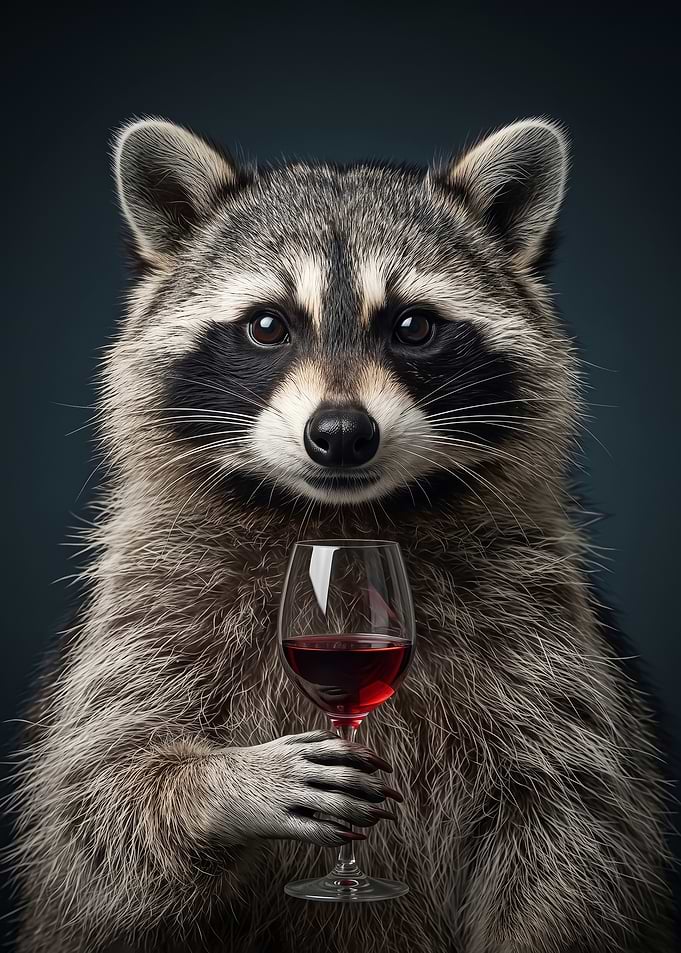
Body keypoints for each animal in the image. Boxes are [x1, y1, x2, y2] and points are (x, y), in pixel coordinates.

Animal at [6, 117, 676, 952]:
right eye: (266, 325)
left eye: (413, 326)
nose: (341, 434)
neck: (342, 522)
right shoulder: (148, 610)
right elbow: (92, 816)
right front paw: (220, 786)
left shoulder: (546, 647)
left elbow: (576, 841)